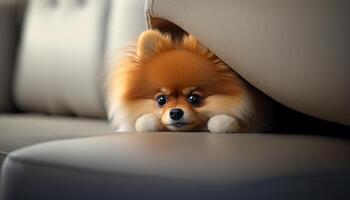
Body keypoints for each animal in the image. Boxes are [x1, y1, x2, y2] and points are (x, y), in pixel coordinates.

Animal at [105, 30, 270, 133]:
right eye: (161, 100)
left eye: (194, 98)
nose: (176, 112)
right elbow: (143, 122)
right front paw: (147, 122)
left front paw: (223, 123)